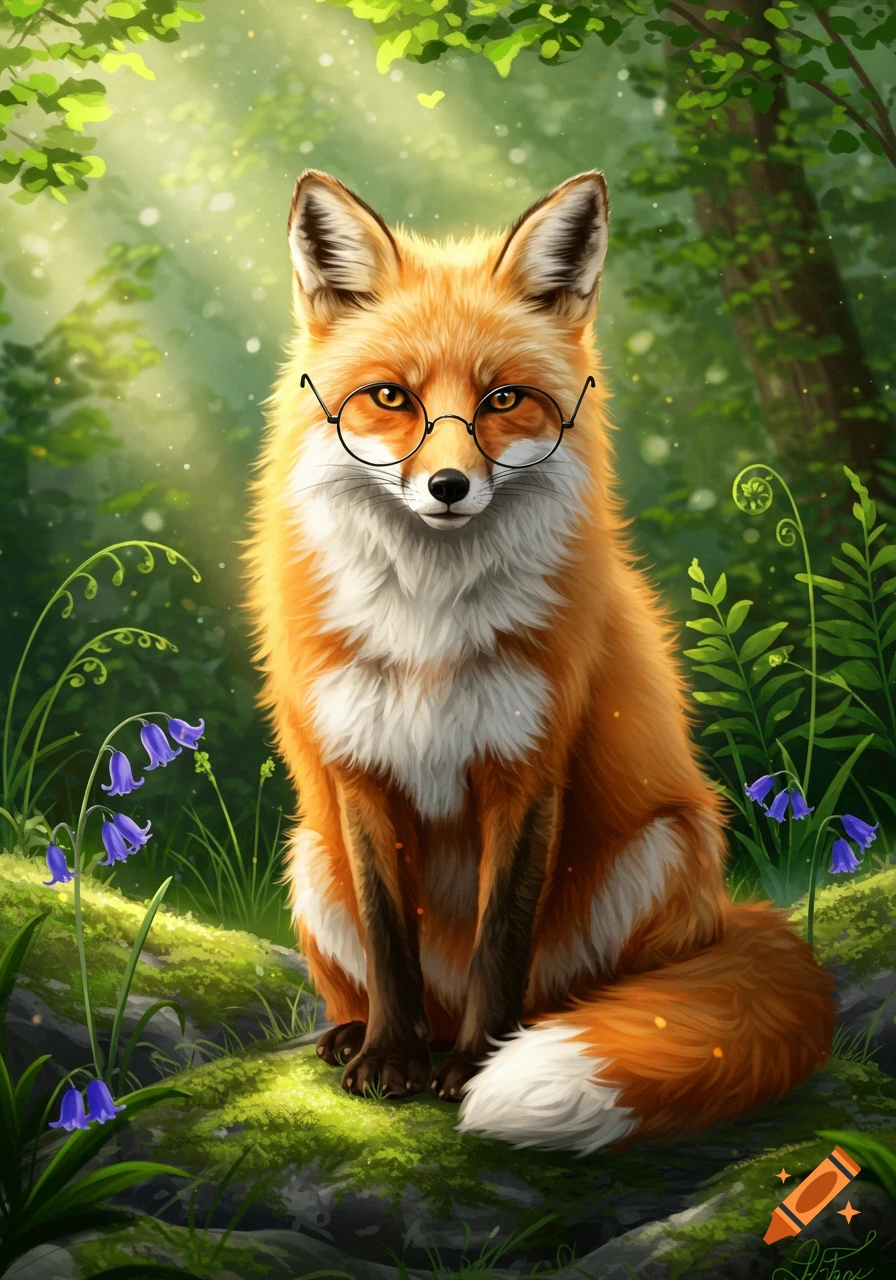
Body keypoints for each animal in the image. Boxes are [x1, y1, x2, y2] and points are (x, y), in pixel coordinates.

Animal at [245, 167, 835, 1154]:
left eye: (502, 400)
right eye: (392, 399)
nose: (448, 487)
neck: (430, 629)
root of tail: (724, 916)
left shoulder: (527, 766)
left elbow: (501, 940)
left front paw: (476, 1067)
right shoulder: (360, 770)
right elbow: (389, 943)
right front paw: (389, 1059)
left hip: (658, 848)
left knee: (586, 991)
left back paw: (522, 1034)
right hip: (310, 855)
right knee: (381, 976)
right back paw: (357, 1034)